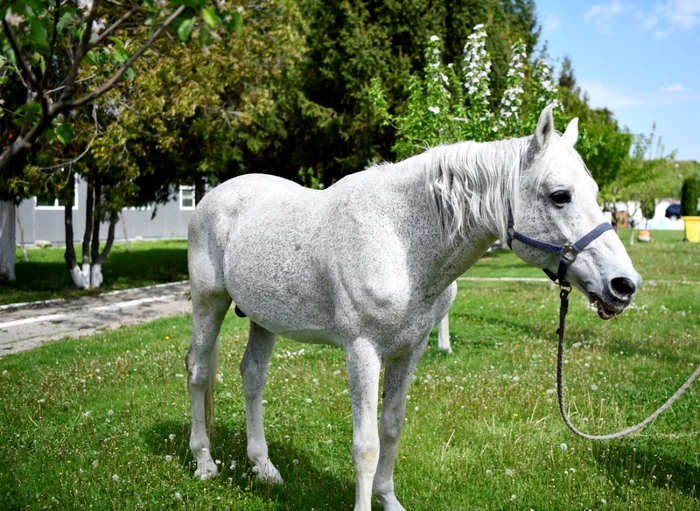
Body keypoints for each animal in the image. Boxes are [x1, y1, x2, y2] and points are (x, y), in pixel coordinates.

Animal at [185, 106, 640, 510]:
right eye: (560, 196)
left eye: (596, 194)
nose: (624, 286)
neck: (399, 239)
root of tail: (214, 197)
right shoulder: (362, 351)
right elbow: (366, 445)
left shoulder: (411, 349)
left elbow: (391, 427)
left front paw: (388, 499)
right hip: (209, 303)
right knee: (199, 371)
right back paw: (204, 462)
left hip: (263, 319)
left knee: (252, 377)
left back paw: (263, 468)